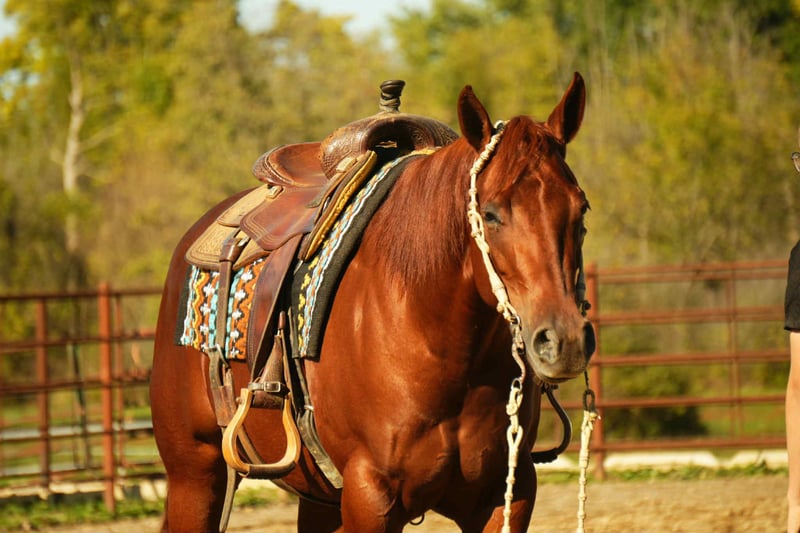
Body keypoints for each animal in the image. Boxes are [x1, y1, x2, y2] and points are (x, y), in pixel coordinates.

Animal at [150, 72, 594, 533]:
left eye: (581, 209)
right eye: (489, 214)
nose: (563, 341)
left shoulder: (508, 493)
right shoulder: (370, 496)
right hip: (193, 475)